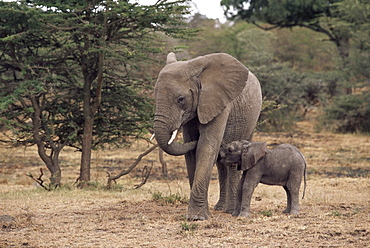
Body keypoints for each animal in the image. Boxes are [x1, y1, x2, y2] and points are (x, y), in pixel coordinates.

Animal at [153, 52, 264, 221]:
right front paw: (199, 214)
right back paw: (220, 208)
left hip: (252, 120)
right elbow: (192, 154)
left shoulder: (219, 103)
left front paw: (196, 217)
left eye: (181, 99)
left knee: (233, 162)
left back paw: (230, 210)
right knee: (221, 163)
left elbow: (206, 147)